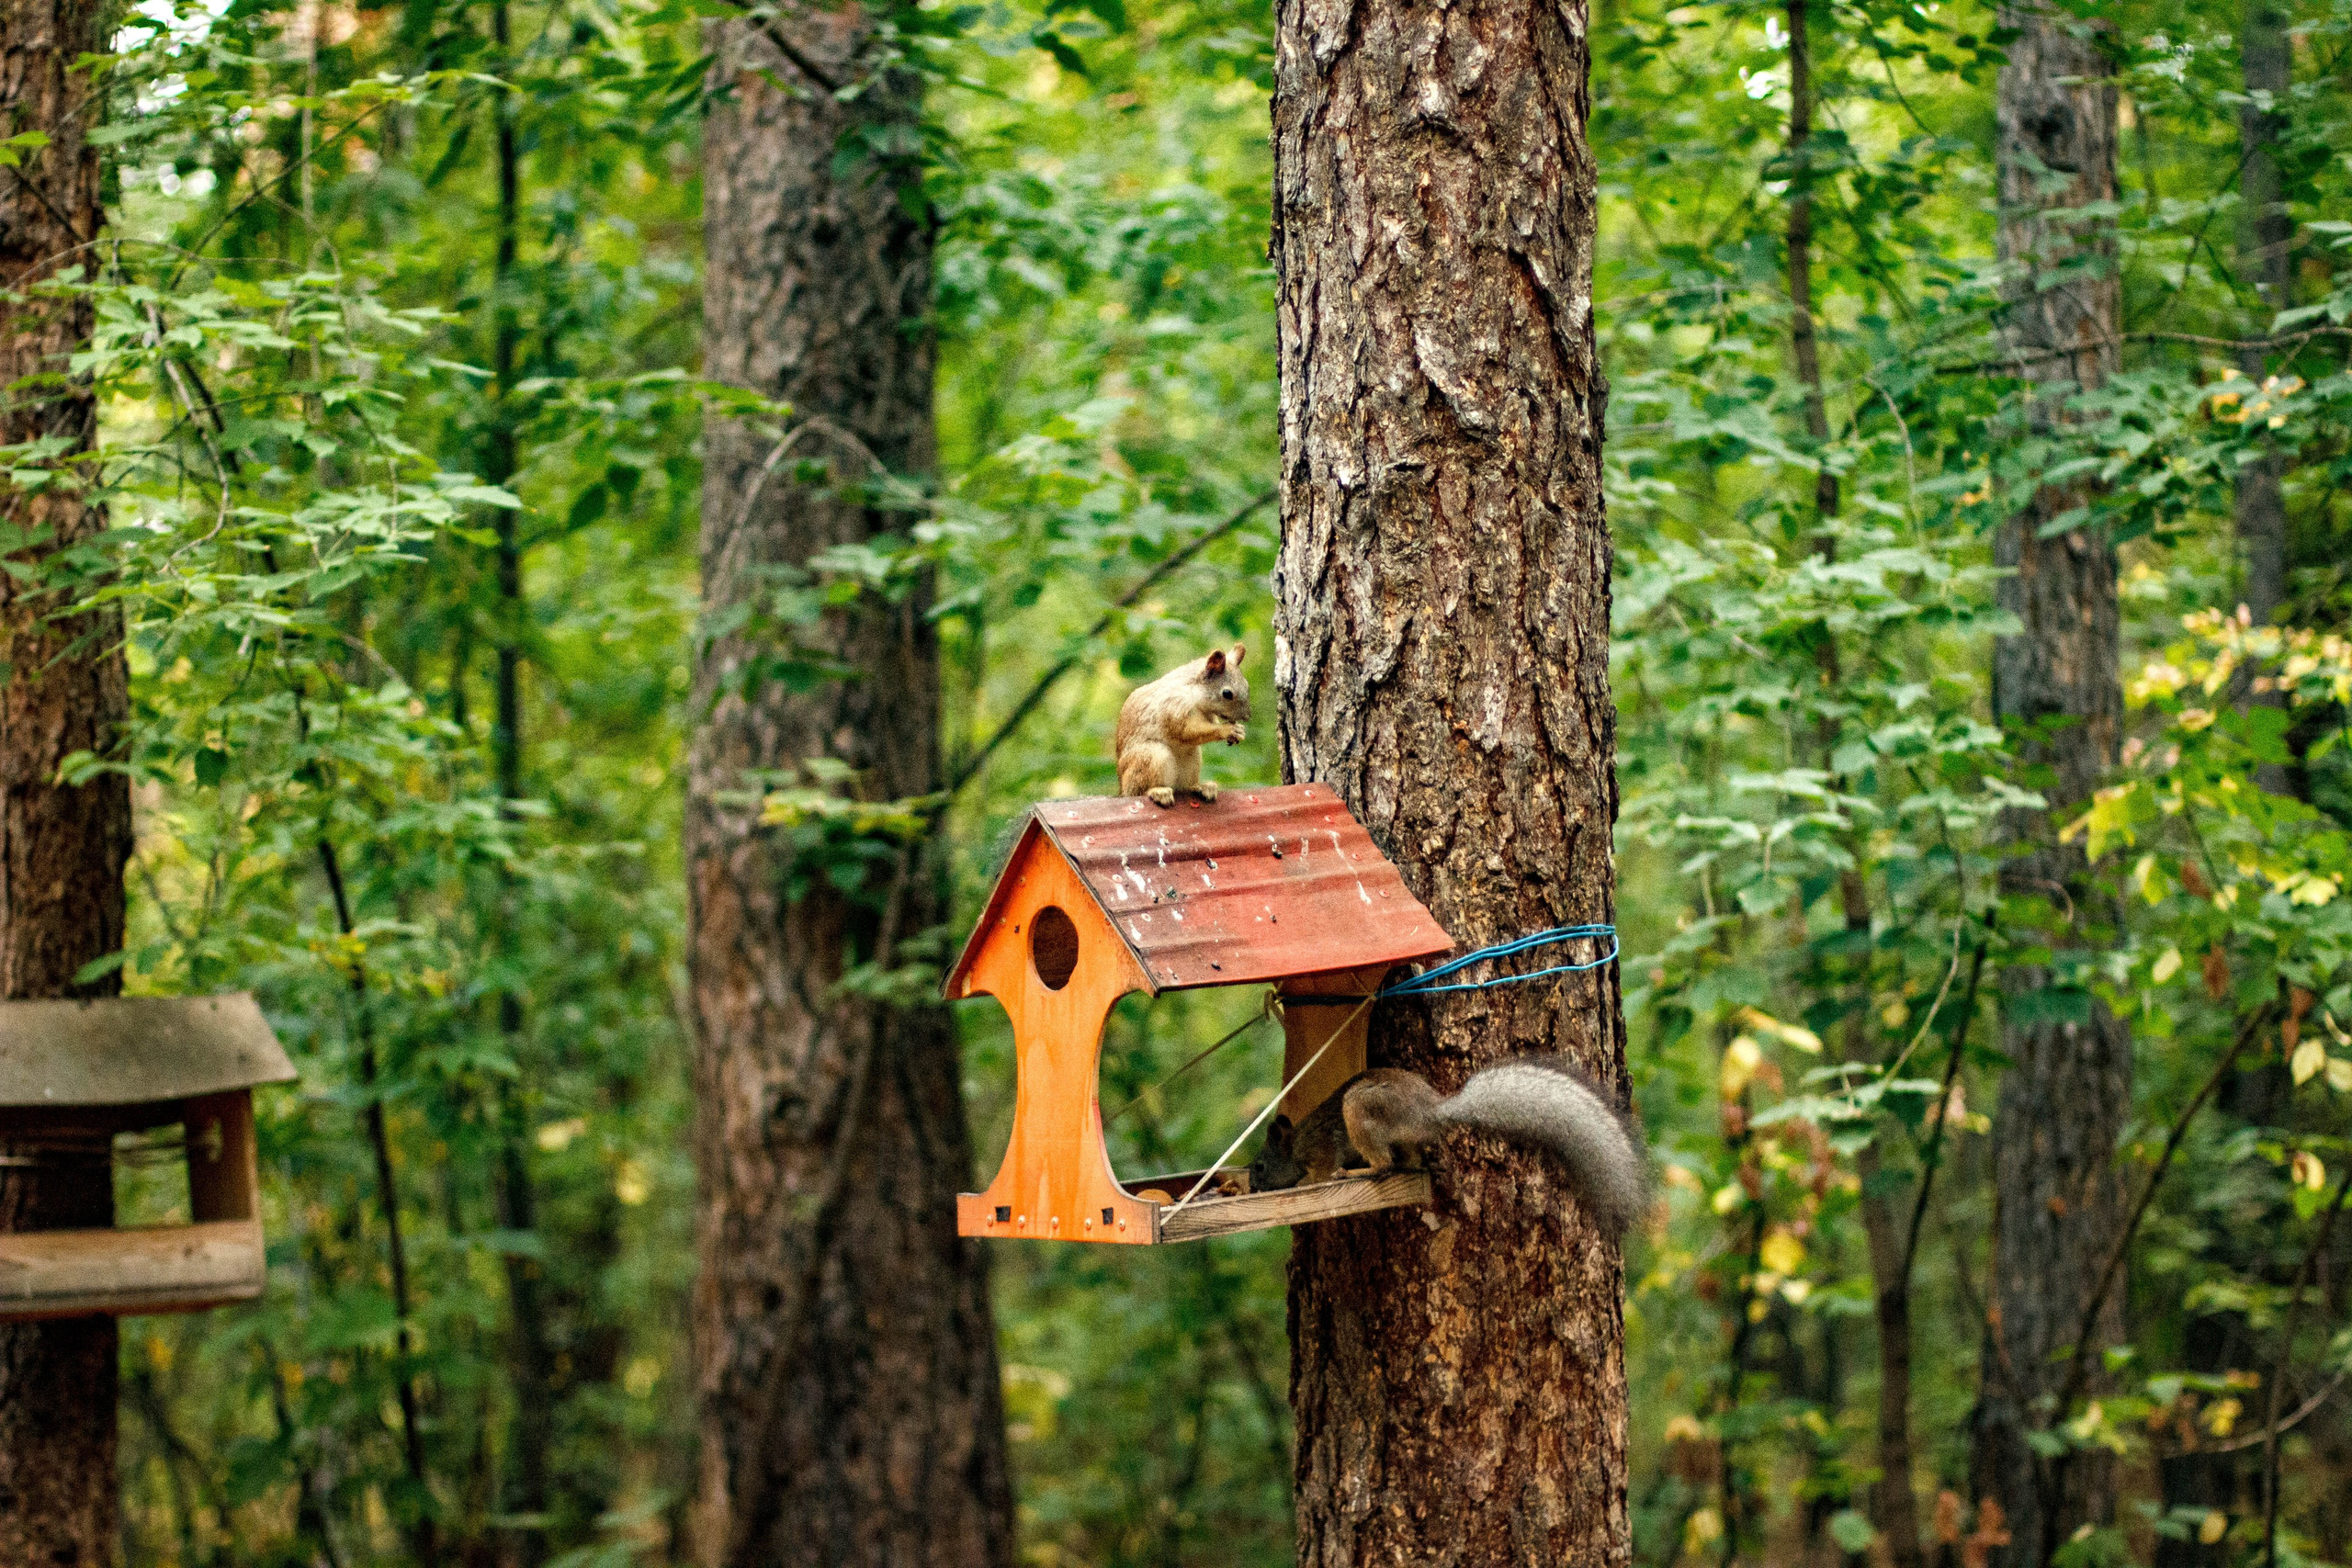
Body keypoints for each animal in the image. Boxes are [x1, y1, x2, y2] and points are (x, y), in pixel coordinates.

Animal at [1114, 644, 1249, 807]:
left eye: (1247, 686)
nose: (1247, 716)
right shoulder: (1174, 706)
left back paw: (1201, 787)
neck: (1194, 694)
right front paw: (1227, 729)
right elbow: (1186, 731)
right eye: (1227, 693)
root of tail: (1123, 790)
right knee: (1140, 791)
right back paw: (1158, 791)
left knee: (1184, 787)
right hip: (1151, 756)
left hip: (1192, 759)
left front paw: (1239, 731)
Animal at [1247, 1056, 1646, 1239]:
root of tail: (1430, 1112)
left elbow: (1320, 1168)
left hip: (1360, 1108)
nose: (1251, 1188)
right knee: (1405, 1163)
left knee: (1384, 1165)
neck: (1293, 1147)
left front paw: (1306, 1182)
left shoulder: (1320, 1147)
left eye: (1259, 1166)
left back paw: (1354, 1171)